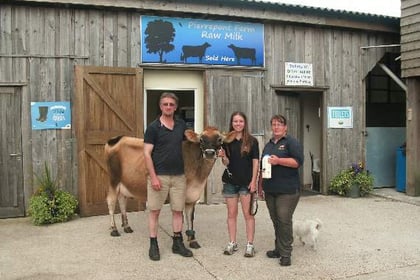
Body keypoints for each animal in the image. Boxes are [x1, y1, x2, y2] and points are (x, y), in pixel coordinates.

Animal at [104, 126, 235, 248]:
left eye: (219, 139)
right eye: (201, 139)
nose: (209, 153)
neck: (199, 177)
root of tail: (118, 138)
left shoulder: (192, 196)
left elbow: (190, 218)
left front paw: (192, 240)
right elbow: (180, 219)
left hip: (123, 183)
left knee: (122, 201)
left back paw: (126, 226)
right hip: (113, 179)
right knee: (111, 201)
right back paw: (114, 229)